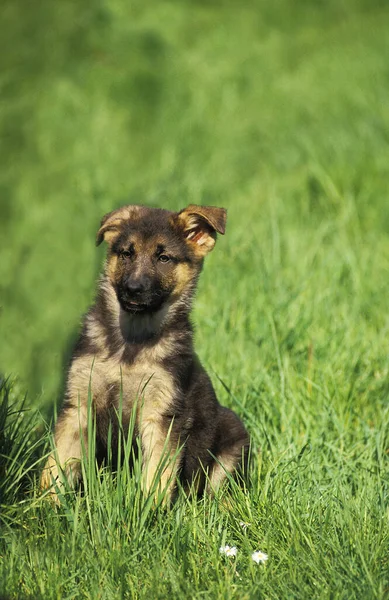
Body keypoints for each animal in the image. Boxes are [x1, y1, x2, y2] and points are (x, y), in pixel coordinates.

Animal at [41, 205, 249, 502]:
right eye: (127, 253)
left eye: (163, 258)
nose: (133, 289)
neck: (131, 343)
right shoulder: (79, 405)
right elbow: (56, 464)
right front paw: (42, 507)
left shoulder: (161, 415)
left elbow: (157, 476)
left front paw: (149, 509)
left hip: (233, 437)